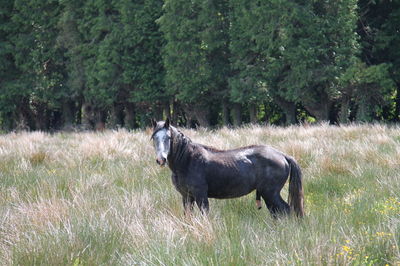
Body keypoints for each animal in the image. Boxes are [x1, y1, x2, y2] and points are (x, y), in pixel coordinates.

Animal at [150, 119, 304, 217]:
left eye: (168, 138)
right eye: (154, 138)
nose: (161, 159)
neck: (187, 160)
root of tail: (282, 155)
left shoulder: (201, 196)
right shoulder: (187, 197)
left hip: (271, 193)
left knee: (285, 211)